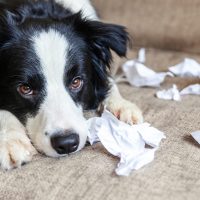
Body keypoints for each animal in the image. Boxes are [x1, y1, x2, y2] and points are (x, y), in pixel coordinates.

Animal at [0, 0, 144, 170]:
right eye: (25, 88)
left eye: (76, 81)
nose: (67, 143)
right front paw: (11, 141)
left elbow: (107, 81)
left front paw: (122, 106)